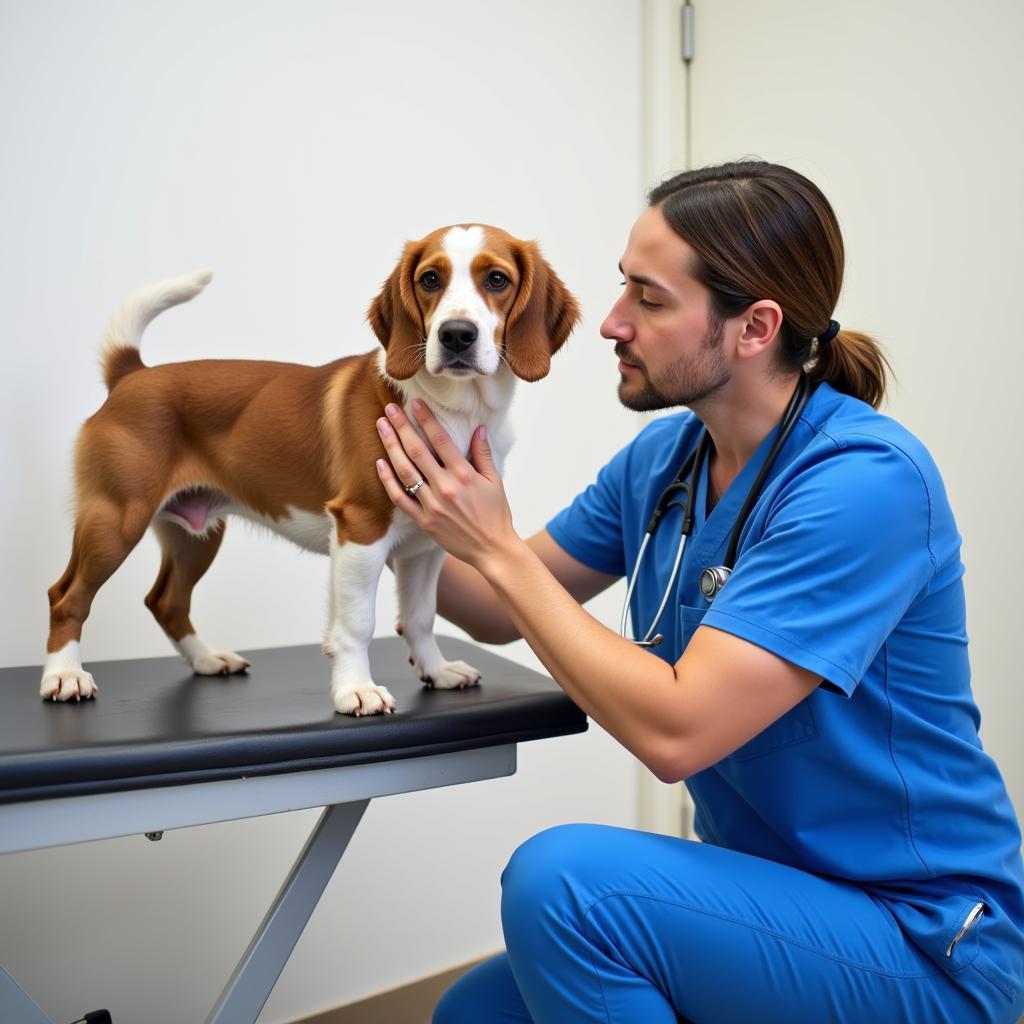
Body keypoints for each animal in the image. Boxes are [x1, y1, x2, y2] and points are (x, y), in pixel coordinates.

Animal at [44, 226, 581, 712]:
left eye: (497, 279)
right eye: (430, 279)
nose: (455, 335)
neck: (455, 409)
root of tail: (132, 374)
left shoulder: (427, 544)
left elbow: (420, 617)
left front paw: (435, 669)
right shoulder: (360, 528)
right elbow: (357, 625)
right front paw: (355, 690)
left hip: (196, 533)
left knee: (166, 601)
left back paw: (207, 660)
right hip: (116, 520)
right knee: (67, 595)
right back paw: (64, 676)